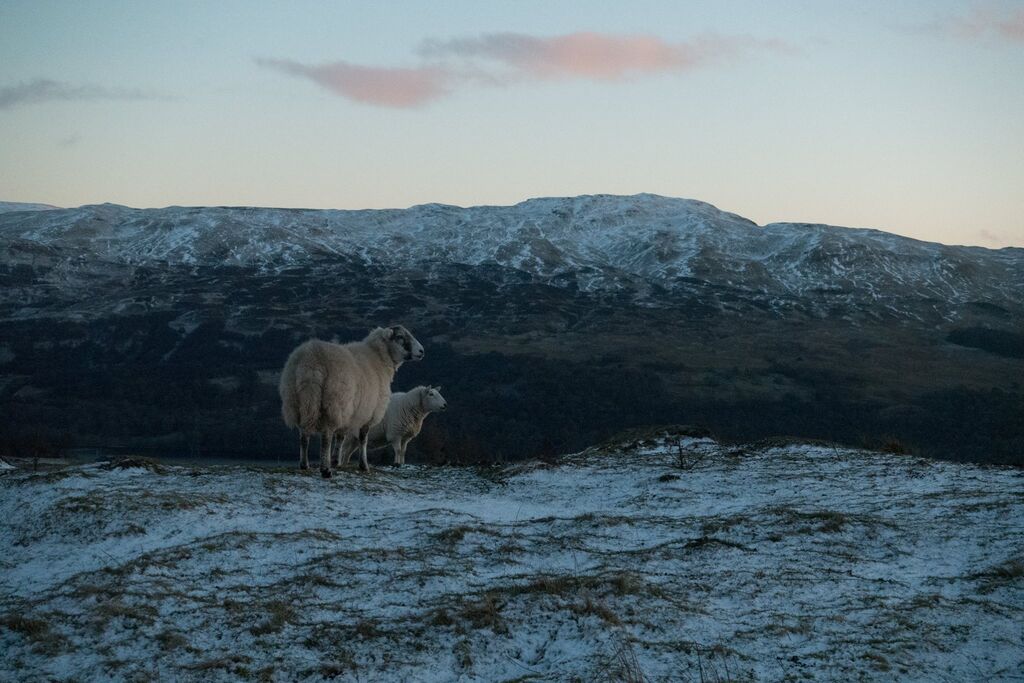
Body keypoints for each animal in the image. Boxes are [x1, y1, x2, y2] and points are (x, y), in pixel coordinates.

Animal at [278, 325, 421, 475]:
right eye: (400, 337)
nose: (422, 351)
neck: (379, 358)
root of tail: (311, 360)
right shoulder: (369, 411)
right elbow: (363, 439)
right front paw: (364, 465)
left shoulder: (350, 413)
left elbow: (341, 436)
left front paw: (336, 461)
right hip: (334, 401)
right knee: (326, 435)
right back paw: (325, 469)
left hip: (298, 402)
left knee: (303, 434)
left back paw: (305, 464)